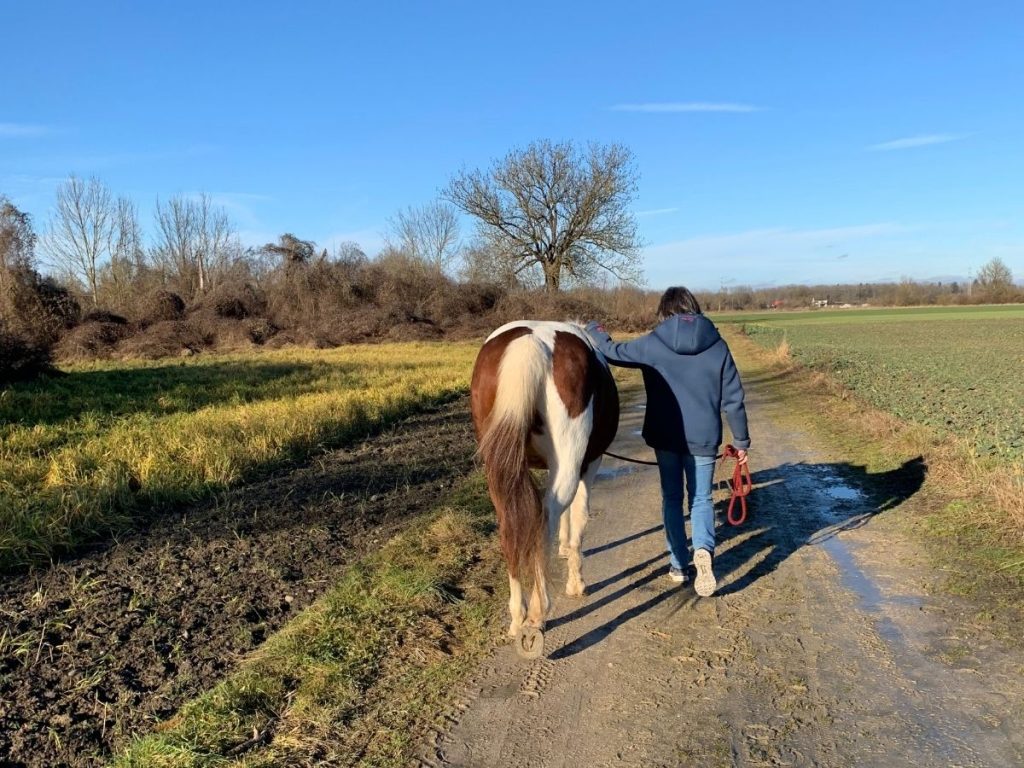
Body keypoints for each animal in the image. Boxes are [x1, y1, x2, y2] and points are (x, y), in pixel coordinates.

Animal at [470, 320, 619, 657]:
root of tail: (530, 341)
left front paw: (562, 549)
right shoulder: (590, 464)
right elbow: (579, 518)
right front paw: (576, 582)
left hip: (499, 469)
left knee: (511, 526)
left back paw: (518, 616)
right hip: (569, 461)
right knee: (545, 516)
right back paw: (539, 613)